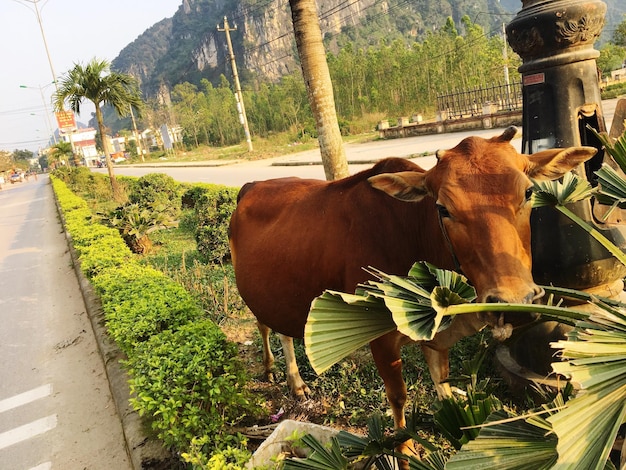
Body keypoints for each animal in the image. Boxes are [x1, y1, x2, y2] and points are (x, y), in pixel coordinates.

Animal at [227, 126, 592, 436]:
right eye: (443, 209)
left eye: (528, 192)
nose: (514, 300)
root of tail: (252, 185)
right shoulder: (380, 339)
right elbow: (399, 403)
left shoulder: (438, 333)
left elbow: (443, 387)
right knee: (263, 325)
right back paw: (273, 370)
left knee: (285, 331)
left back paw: (296, 382)